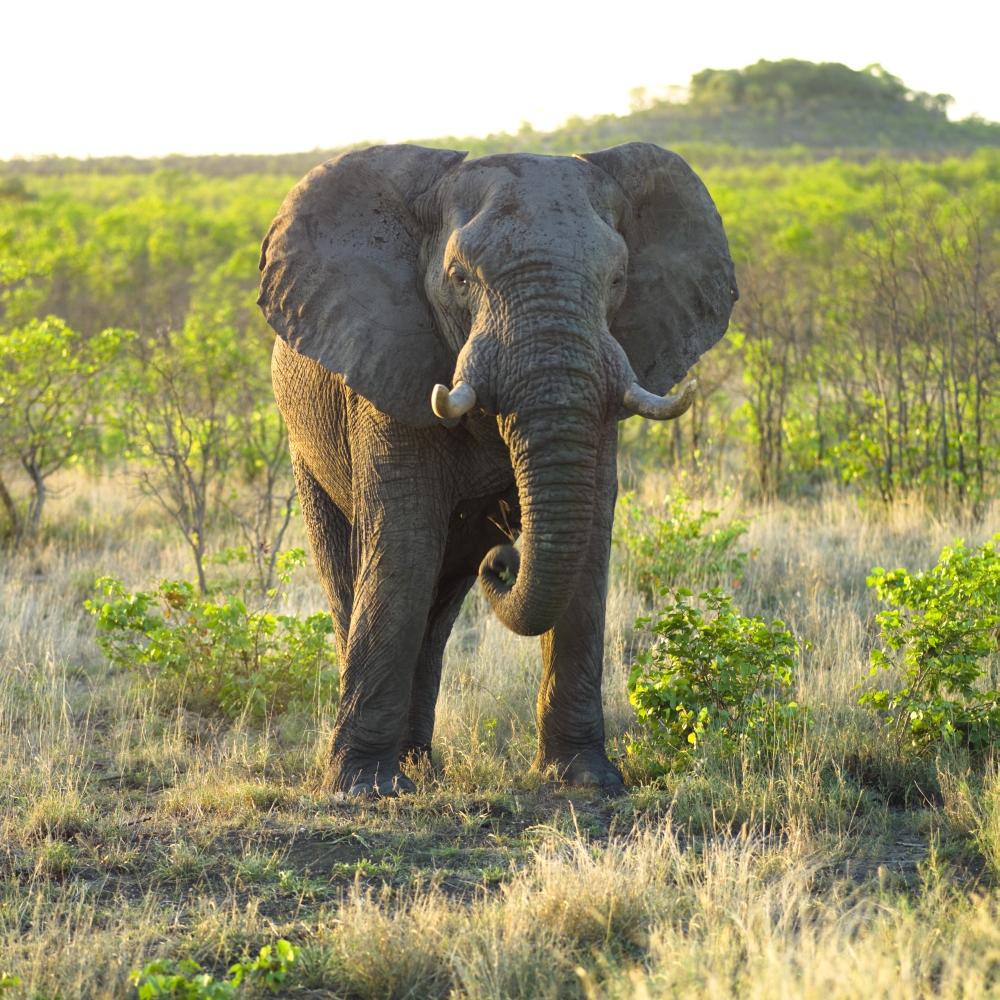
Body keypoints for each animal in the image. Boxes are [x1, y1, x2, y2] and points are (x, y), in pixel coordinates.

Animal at [257, 141, 737, 796]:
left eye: (617, 280)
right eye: (460, 279)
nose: (504, 558)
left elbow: (589, 540)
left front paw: (585, 779)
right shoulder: (391, 372)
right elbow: (404, 544)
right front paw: (363, 789)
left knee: (439, 610)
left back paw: (421, 765)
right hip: (304, 449)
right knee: (355, 576)